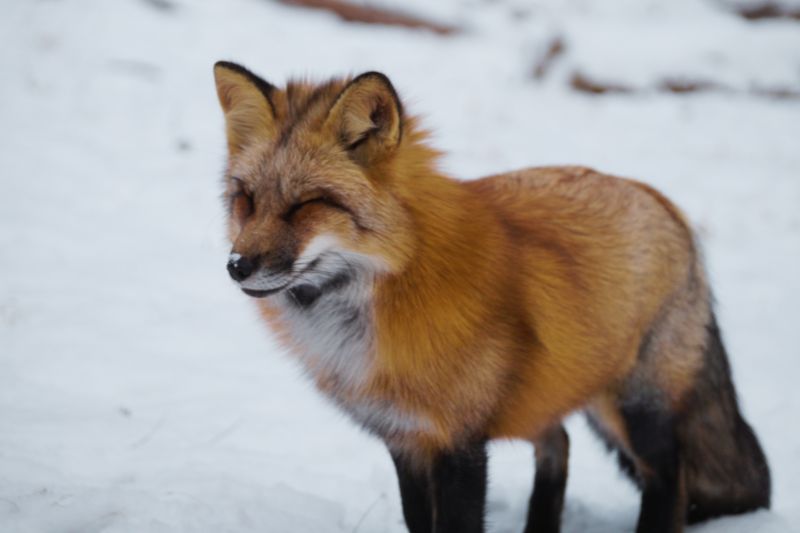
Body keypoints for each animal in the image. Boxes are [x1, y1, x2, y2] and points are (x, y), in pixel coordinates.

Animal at [213, 61, 771, 533]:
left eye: (307, 204)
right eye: (247, 201)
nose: (236, 266)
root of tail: (662, 200)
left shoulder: (458, 442)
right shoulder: (406, 439)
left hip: (636, 404)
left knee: (669, 475)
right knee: (559, 445)